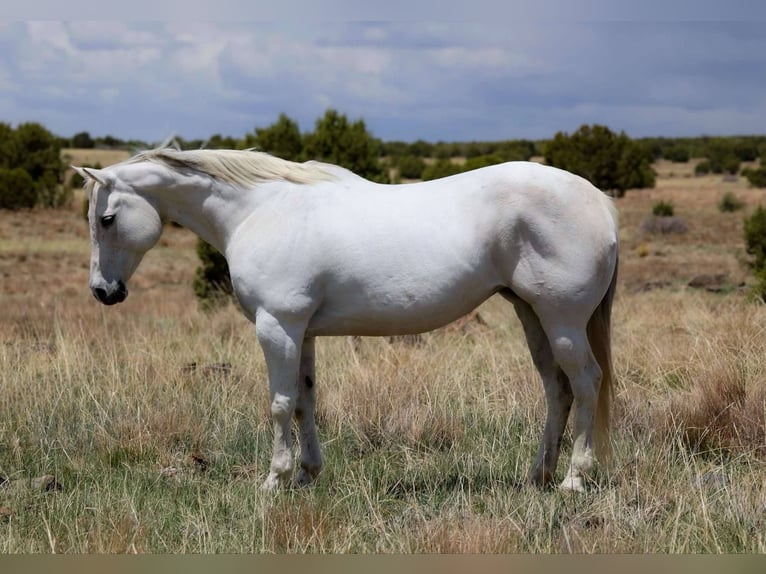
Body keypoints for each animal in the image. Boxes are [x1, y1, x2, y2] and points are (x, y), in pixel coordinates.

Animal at [73, 148, 619, 492]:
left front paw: (273, 480)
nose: (103, 292)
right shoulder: (301, 331)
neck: (259, 210)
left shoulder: (277, 327)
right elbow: (304, 402)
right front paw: (306, 474)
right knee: (557, 388)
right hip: (532, 314)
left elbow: (279, 404)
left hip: (563, 321)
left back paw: (574, 479)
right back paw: (539, 475)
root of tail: (599, 201)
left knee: (586, 383)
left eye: (106, 219)